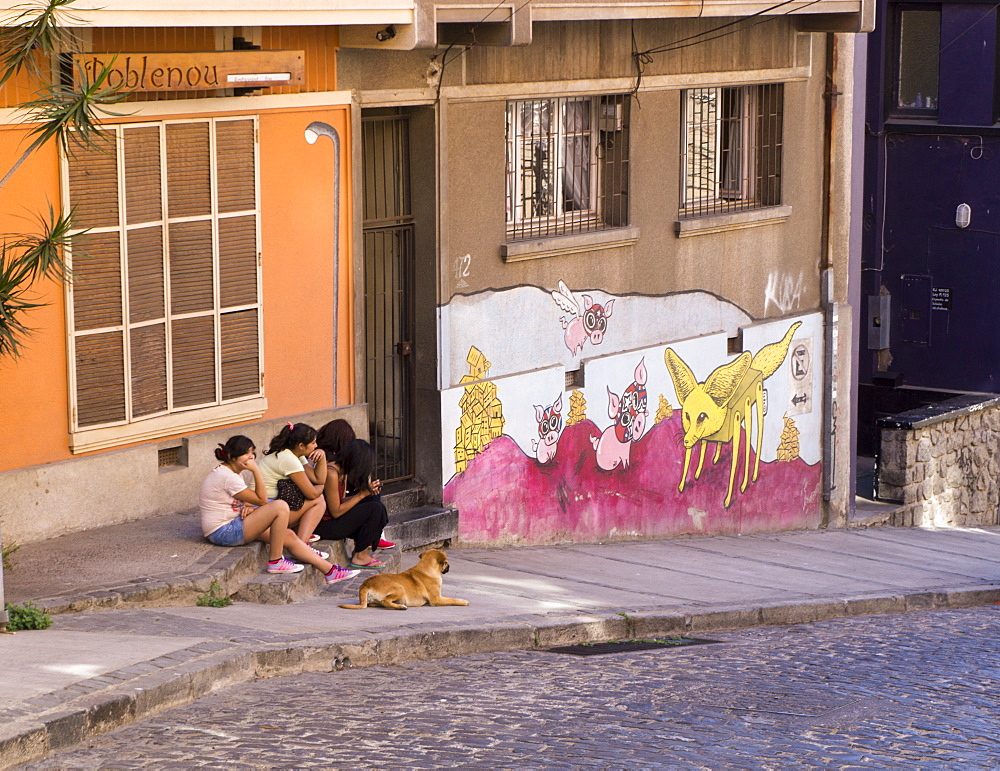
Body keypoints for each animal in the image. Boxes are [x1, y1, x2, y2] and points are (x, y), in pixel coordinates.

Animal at [336, 544, 468, 612]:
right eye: (446, 563)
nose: (449, 567)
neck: (426, 568)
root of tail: (366, 584)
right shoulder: (437, 599)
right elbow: (452, 600)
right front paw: (463, 601)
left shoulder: (439, 596)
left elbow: (450, 598)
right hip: (400, 589)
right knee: (385, 601)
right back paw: (401, 607)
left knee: (380, 604)